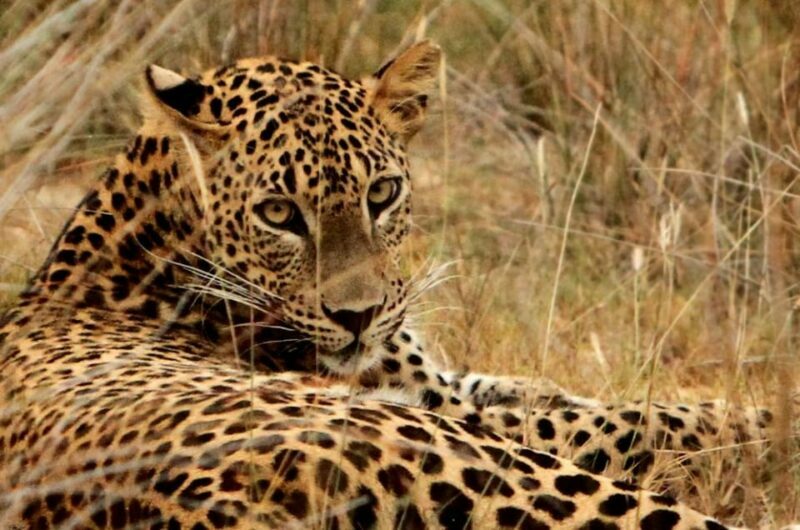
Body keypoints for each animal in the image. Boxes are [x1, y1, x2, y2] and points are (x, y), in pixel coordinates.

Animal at [0, 40, 789, 528]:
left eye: (381, 194)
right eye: (279, 213)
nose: (358, 314)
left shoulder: (441, 379)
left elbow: (564, 393)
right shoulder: (452, 409)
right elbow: (638, 418)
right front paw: (775, 415)